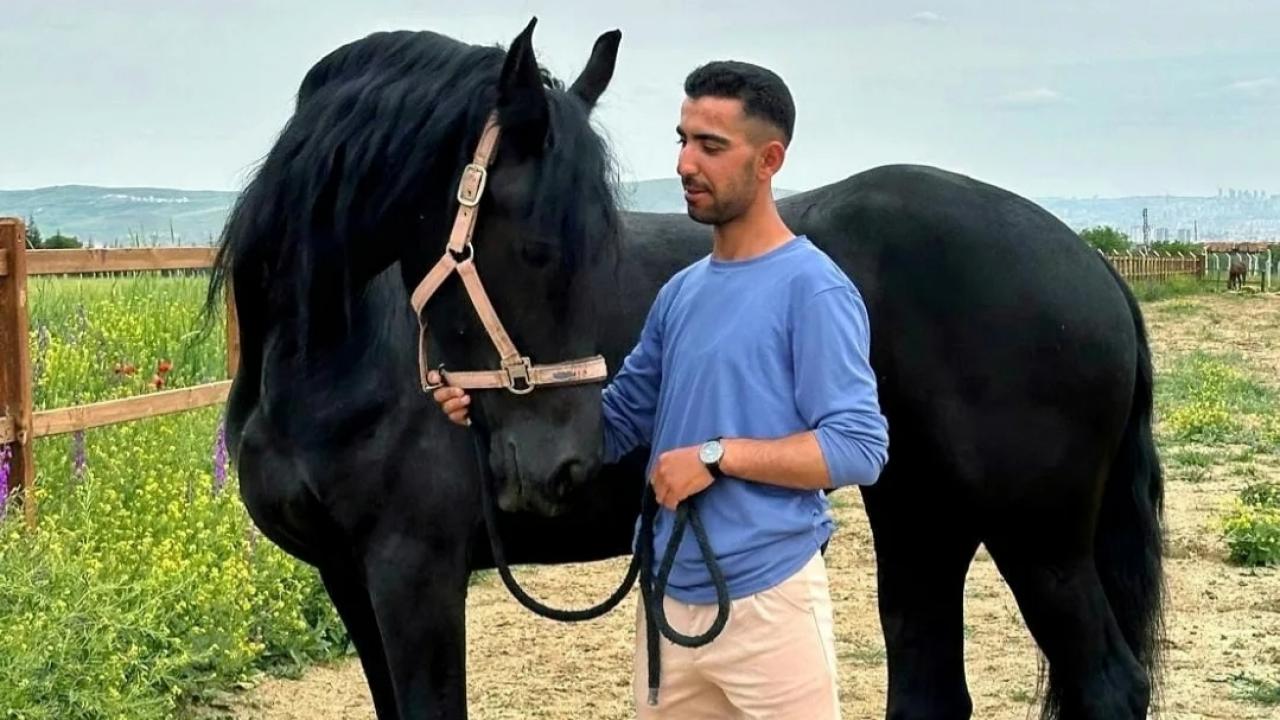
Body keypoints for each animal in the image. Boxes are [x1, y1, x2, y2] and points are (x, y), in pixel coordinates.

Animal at [205, 19, 1165, 720]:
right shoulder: (349, 577)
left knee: (1108, 685)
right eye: (541, 247)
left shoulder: (415, 573)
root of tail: (1090, 263)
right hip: (923, 513)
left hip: (1039, 539)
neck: (329, 356)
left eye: (594, 247)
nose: (559, 469)